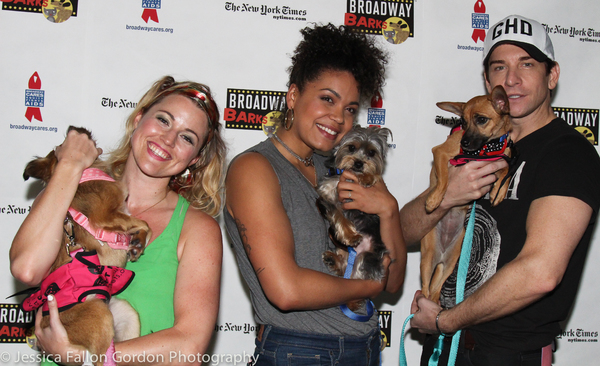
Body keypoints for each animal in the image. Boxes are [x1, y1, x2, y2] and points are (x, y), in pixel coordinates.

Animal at [316, 124, 392, 302]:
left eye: (371, 152)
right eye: (351, 147)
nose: (358, 163)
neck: (349, 177)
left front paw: (367, 178)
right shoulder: (327, 195)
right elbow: (338, 214)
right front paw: (352, 236)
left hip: (369, 255)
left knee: (355, 275)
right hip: (343, 249)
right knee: (346, 271)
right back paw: (333, 260)